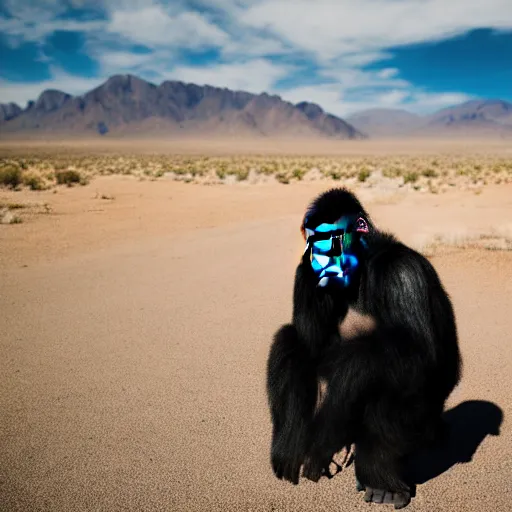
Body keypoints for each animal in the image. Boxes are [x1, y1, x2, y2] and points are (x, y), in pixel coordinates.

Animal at [266, 187, 462, 508]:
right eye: (313, 245)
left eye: (331, 242)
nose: (320, 264)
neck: (366, 263)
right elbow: (311, 345)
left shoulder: (401, 274)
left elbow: (417, 353)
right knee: (289, 340)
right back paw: (290, 451)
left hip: (423, 428)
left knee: (381, 381)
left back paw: (381, 482)